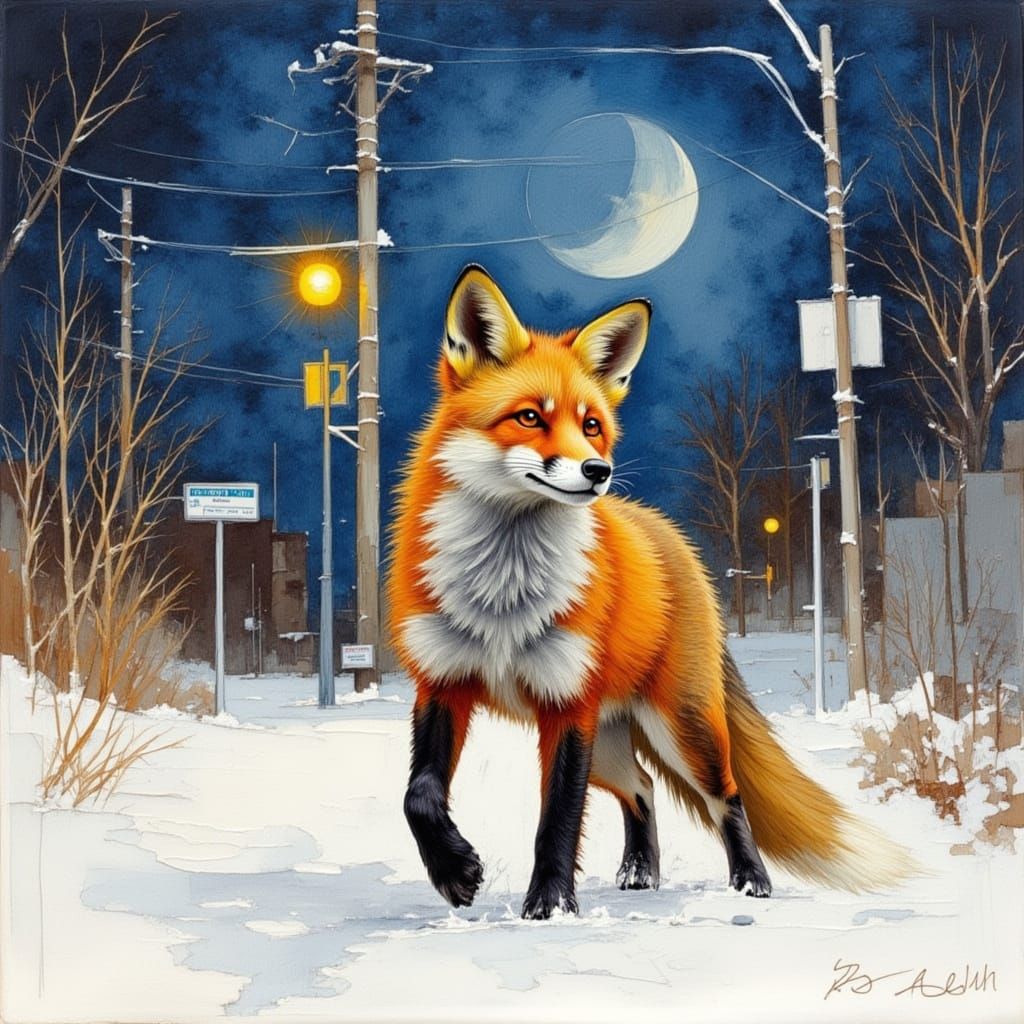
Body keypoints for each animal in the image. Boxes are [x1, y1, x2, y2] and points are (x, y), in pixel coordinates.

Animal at [388, 264, 916, 920]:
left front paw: (549, 907)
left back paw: (751, 881)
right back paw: (641, 869)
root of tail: (670, 537)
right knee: (640, 786)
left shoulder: (567, 704)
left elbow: (556, 818)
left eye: (591, 425)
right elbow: (418, 795)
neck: (502, 594)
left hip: (679, 727)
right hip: (611, 742)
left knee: (727, 795)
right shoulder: (443, 682)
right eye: (530, 418)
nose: (598, 472)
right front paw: (455, 872)